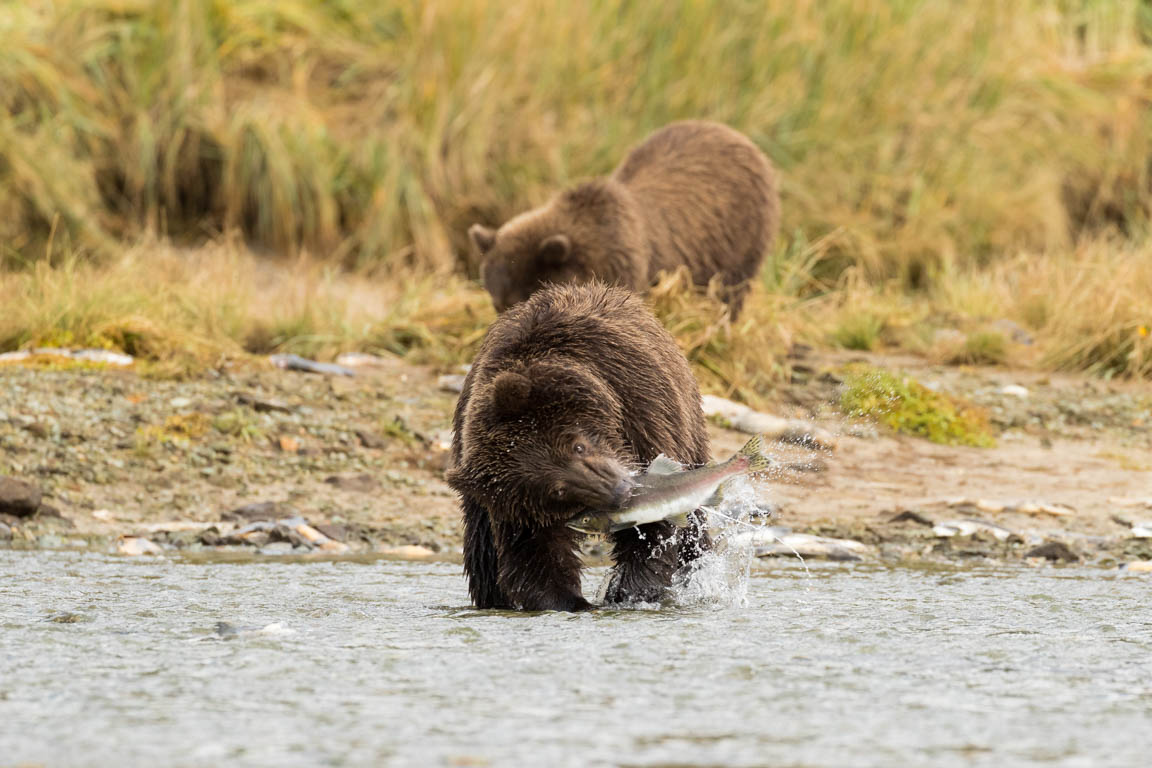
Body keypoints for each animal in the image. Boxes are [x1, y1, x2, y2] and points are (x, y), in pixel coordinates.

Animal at [442, 279, 705, 607]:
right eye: (556, 490)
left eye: (578, 446)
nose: (619, 490)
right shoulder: (514, 504)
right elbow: (533, 552)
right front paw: (571, 601)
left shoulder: (641, 414)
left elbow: (654, 526)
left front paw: (629, 591)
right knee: (483, 554)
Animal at [467, 122, 783, 317]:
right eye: (497, 303)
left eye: (520, 298)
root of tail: (741, 138)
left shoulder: (624, 265)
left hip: (742, 235)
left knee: (731, 290)